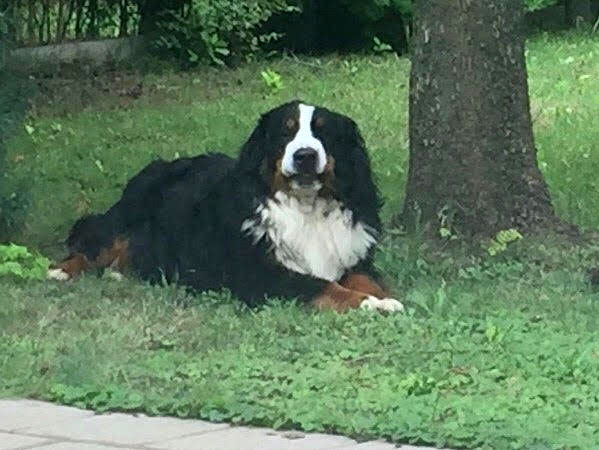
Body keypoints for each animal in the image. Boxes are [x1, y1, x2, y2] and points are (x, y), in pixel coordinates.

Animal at [48, 100, 403, 313]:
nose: (305, 155)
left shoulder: (351, 257)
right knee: (95, 242)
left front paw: (386, 298)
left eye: (323, 132)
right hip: (124, 219)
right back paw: (61, 271)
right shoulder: (259, 274)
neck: (307, 210)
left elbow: (365, 279)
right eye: (285, 133)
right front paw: (371, 304)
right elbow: (324, 286)